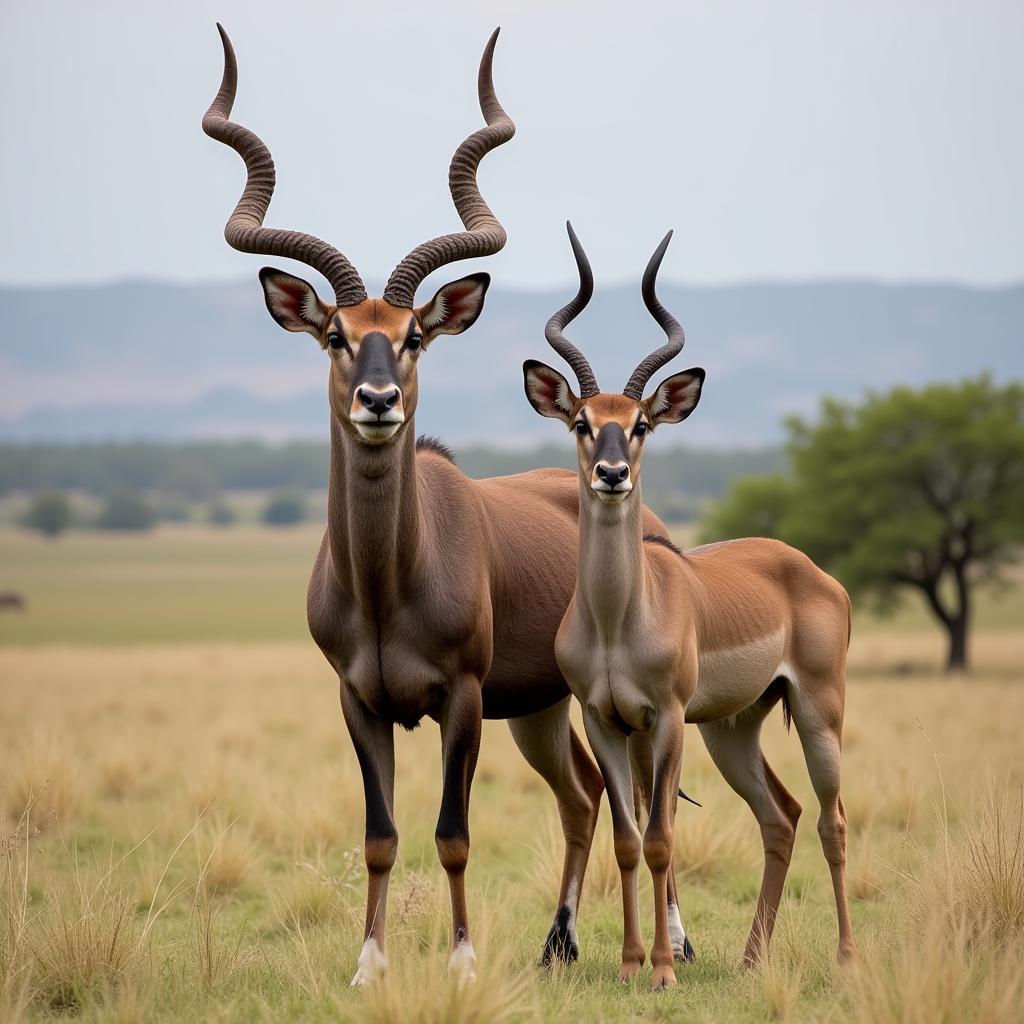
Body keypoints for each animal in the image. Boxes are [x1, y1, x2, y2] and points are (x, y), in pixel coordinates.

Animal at [201, 24, 679, 983]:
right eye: (336, 334)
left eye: (415, 333)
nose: (378, 401)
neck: (389, 585)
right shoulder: (357, 701)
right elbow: (381, 836)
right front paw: (369, 966)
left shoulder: (461, 699)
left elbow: (453, 832)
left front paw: (459, 963)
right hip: (540, 710)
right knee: (581, 799)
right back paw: (559, 946)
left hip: (579, 711)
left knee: (641, 805)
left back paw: (664, 944)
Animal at [524, 226, 860, 991]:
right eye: (582, 421)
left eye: (642, 423)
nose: (611, 474)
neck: (618, 620)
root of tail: (813, 572)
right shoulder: (604, 719)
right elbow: (626, 839)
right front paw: (628, 965)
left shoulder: (667, 718)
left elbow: (660, 837)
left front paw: (662, 971)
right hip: (735, 729)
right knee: (782, 815)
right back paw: (751, 958)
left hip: (817, 714)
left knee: (831, 820)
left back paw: (847, 958)